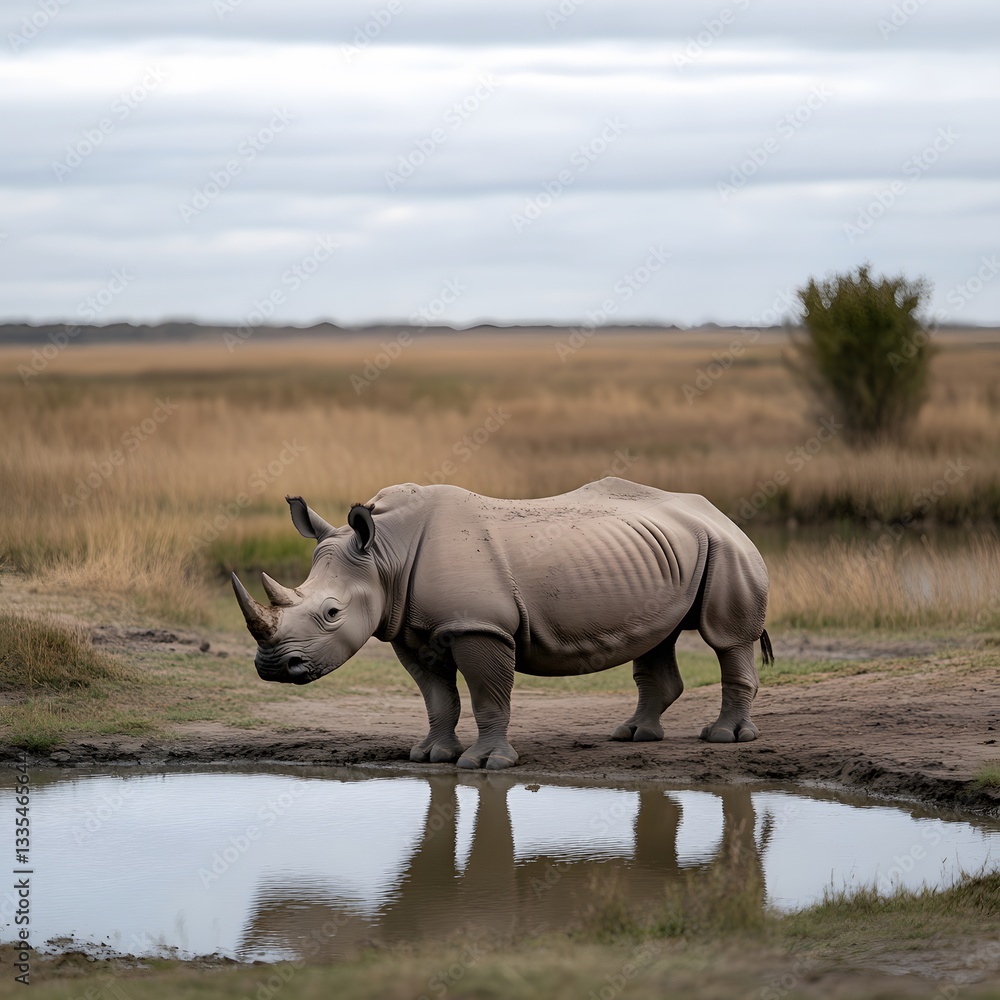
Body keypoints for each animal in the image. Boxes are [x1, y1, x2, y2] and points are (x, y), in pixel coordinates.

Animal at [231, 478, 773, 770]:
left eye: (332, 613)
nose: (273, 668)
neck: (385, 553)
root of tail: (717, 510)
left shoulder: (480, 626)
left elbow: (488, 695)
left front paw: (484, 764)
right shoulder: (409, 628)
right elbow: (438, 698)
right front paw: (430, 756)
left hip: (728, 546)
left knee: (727, 639)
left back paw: (724, 738)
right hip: (667, 552)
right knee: (658, 636)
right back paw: (633, 736)